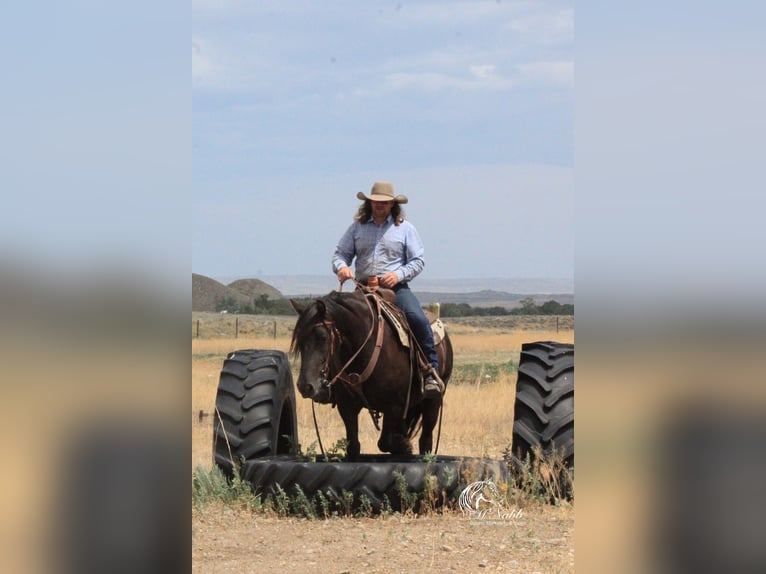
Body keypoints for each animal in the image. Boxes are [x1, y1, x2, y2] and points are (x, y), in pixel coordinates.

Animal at [292, 290, 452, 462]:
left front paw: (405, 446)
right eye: (299, 339)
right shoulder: (347, 404)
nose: (305, 386)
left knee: (426, 439)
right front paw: (403, 445)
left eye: (322, 337)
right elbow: (353, 446)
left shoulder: (394, 405)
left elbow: (385, 442)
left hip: (433, 401)